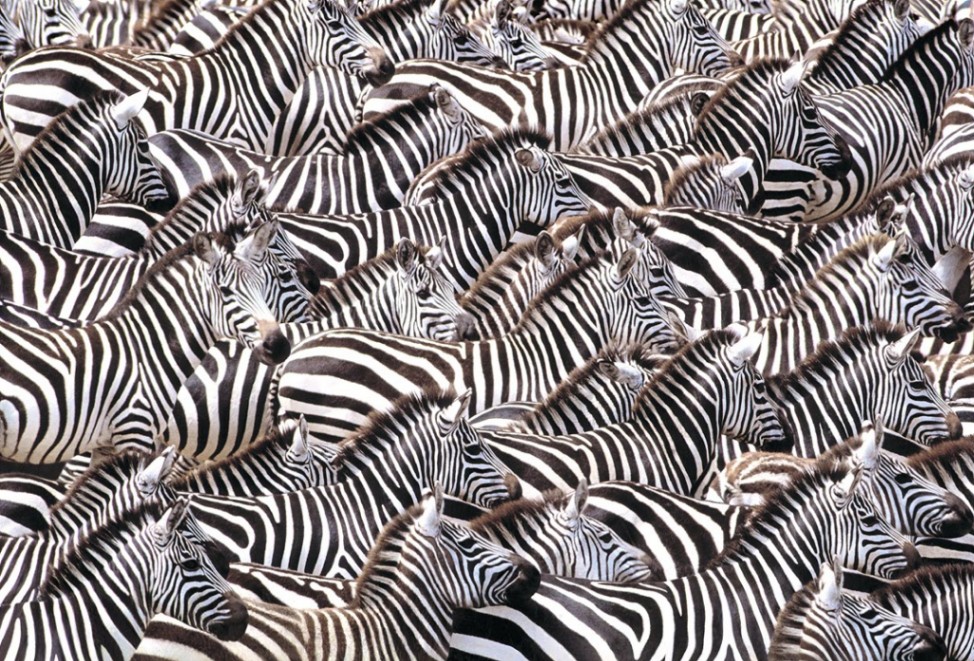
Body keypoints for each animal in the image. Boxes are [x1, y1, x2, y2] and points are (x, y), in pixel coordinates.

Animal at [0, 0, 395, 154]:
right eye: (335, 25)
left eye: (357, 14)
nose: (388, 66)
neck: (247, 83)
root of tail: (16, 68)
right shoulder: (235, 144)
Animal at [0, 222, 307, 463]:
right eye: (226, 291)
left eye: (263, 286)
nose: (279, 346)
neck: (146, 351)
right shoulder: (134, 431)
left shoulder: (107, 444)